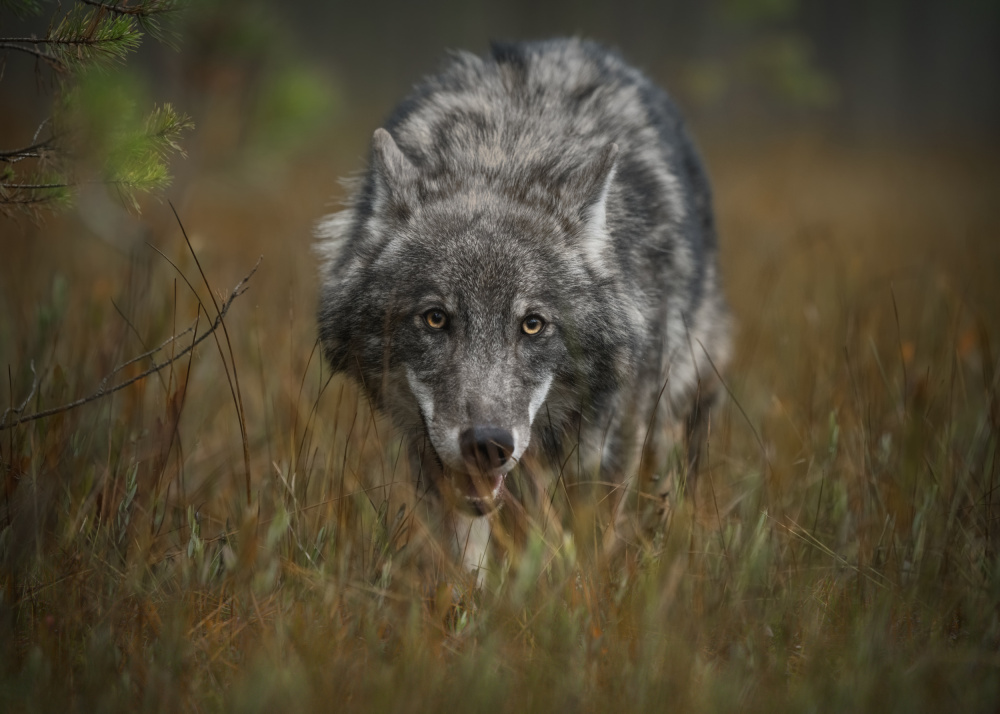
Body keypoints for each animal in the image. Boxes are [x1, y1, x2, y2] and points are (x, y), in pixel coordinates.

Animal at [316, 36, 732, 576]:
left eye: (533, 325)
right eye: (435, 318)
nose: (487, 444)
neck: (503, 152)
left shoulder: (614, 435)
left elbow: (591, 541)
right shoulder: (433, 454)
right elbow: (465, 557)